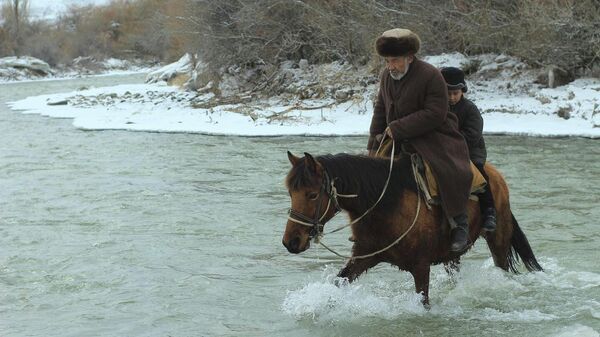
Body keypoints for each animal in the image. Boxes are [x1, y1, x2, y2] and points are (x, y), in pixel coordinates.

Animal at [282, 150, 544, 304]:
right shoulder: (364, 257)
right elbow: (338, 283)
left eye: (312, 194)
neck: (385, 204)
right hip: (452, 255)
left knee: (502, 267)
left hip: (498, 239)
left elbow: (423, 302)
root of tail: (493, 173)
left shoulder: (421, 266)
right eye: (291, 193)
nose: (291, 242)